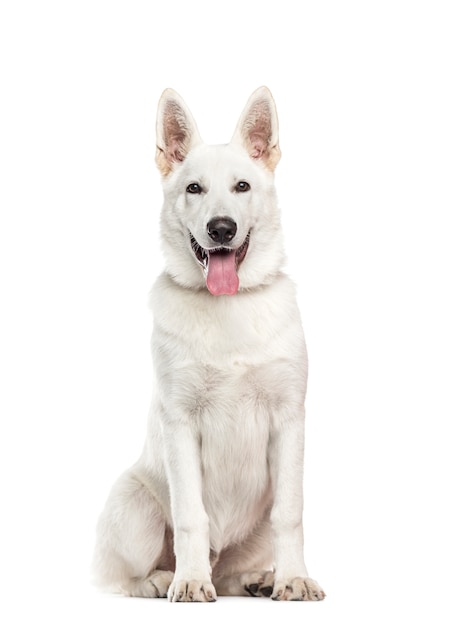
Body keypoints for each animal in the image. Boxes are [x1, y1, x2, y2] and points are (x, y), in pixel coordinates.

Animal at [92, 86, 326, 600]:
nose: (221, 229)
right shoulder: (180, 423)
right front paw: (190, 580)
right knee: (119, 579)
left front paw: (294, 577)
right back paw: (163, 579)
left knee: (233, 570)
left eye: (242, 187)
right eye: (194, 189)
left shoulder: (289, 420)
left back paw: (258, 578)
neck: (228, 306)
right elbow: (190, 518)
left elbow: (290, 514)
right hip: (134, 504)